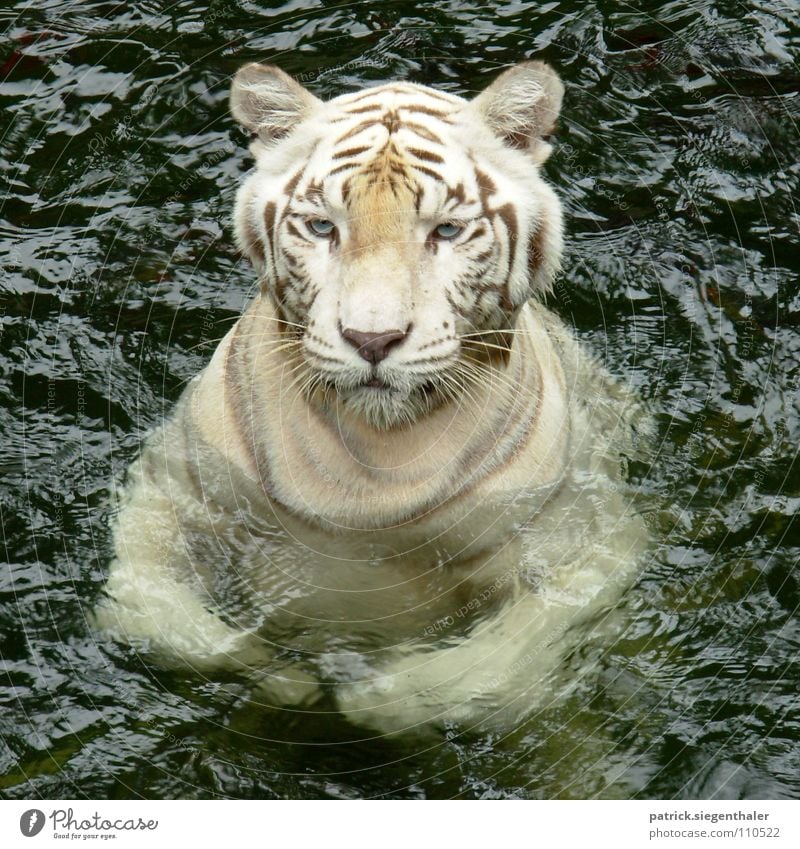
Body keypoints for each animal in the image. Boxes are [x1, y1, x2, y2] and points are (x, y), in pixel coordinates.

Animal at [98, 59, 648, 736]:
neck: (374, 464)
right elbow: (156, 612)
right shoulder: (172, 490)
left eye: (446, 230)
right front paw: (283, 675)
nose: (372, 339)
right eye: (322, 227)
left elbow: (484, 671)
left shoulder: (586, 545)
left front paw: (364, 684)